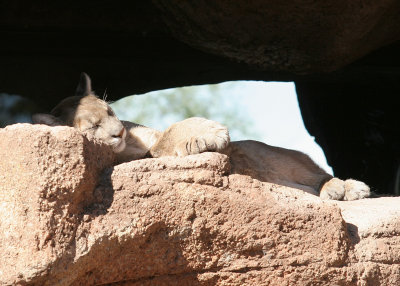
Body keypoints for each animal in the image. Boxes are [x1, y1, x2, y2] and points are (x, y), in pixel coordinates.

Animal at [32, 73, 370, 201]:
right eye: (91, 128)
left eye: (111, 112)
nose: (119, 132)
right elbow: (164, 142)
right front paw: (206, 137)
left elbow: (172, 129)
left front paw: (207, 132)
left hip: (277, 156)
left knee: (318, 172)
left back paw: (345, 188)